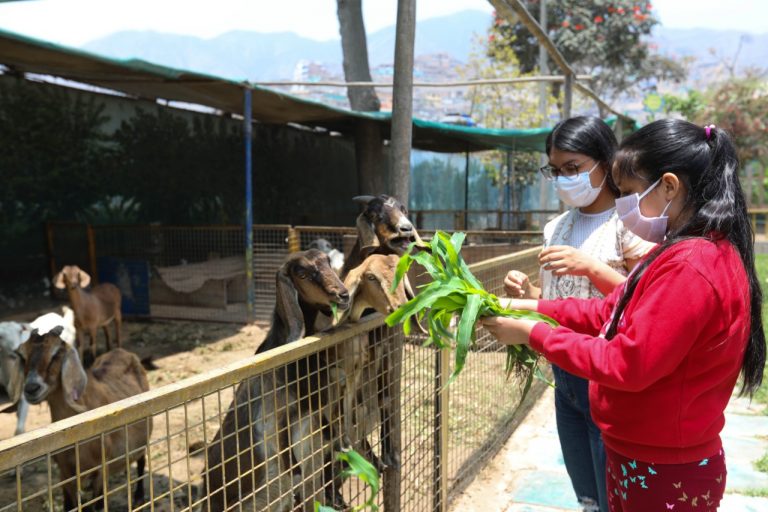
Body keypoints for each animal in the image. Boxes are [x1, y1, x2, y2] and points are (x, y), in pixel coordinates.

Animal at [19, 328, 152, 512]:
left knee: (141, 461)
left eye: (56, 354)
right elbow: (69, 504)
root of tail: (122, 351)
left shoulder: (101, 468)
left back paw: (139, 497)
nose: (32, 388)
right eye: (22, 356)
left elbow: (98, 504)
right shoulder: (65, 472)